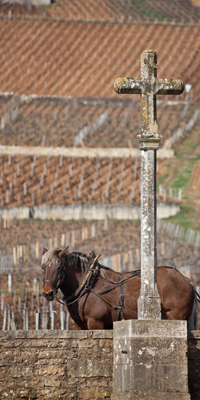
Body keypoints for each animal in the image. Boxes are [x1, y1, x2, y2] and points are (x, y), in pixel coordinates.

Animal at [41, 248, 198, 330]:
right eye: (43, 267)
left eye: (59, 267)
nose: (48, 292)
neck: (88, 285)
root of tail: (187, 280)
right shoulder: (81, 326)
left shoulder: (96, 323)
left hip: (176, 316)